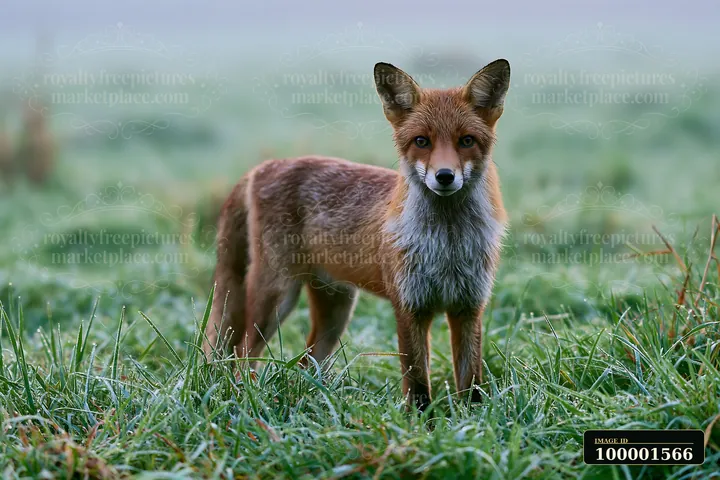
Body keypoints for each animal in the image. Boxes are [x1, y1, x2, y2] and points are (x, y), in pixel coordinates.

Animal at [205, 59, 510, 411]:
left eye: (466, 141)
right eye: (422, 141)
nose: (444, 176)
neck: (447, 243)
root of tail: (264, 167)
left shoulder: (469, 307)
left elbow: (472, 385)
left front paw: (474, 421)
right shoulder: (409, 307)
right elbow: (418, 385)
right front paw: (422, 423)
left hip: (336, 308)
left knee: (306, 363)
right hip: (277, 296)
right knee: (242, 355)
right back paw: (248, 397)